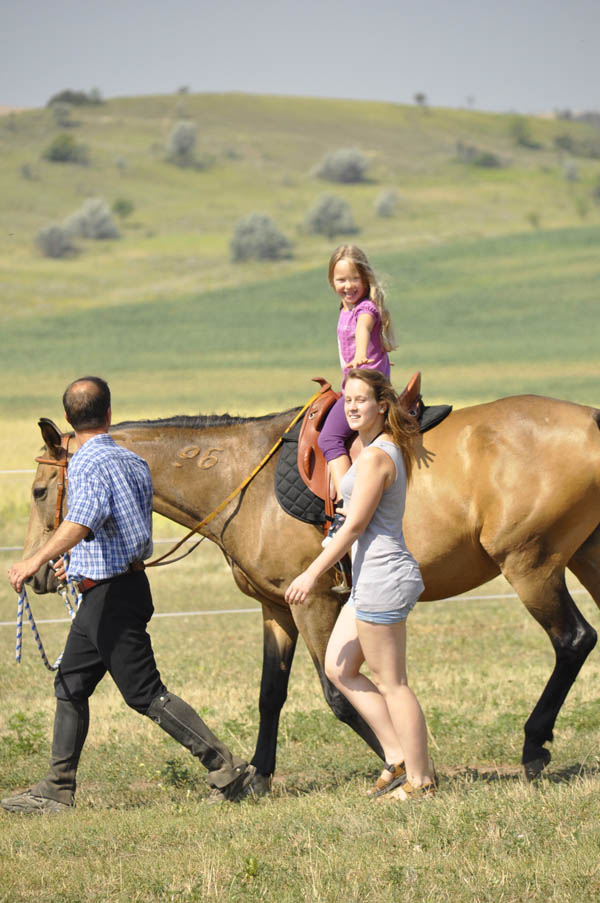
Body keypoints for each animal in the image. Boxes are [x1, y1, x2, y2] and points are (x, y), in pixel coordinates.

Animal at [18, 392, 600, 788]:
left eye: (41, 490)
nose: (37, 573)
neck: (242, 482)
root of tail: (590, 420)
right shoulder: (276, 608)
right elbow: (270, 694)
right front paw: (257, 774)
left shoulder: (316, 604)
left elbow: (338, 695)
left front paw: (398, 763)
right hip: (583, 557)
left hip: (530, 564)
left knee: (572, 640)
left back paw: (533, 746)